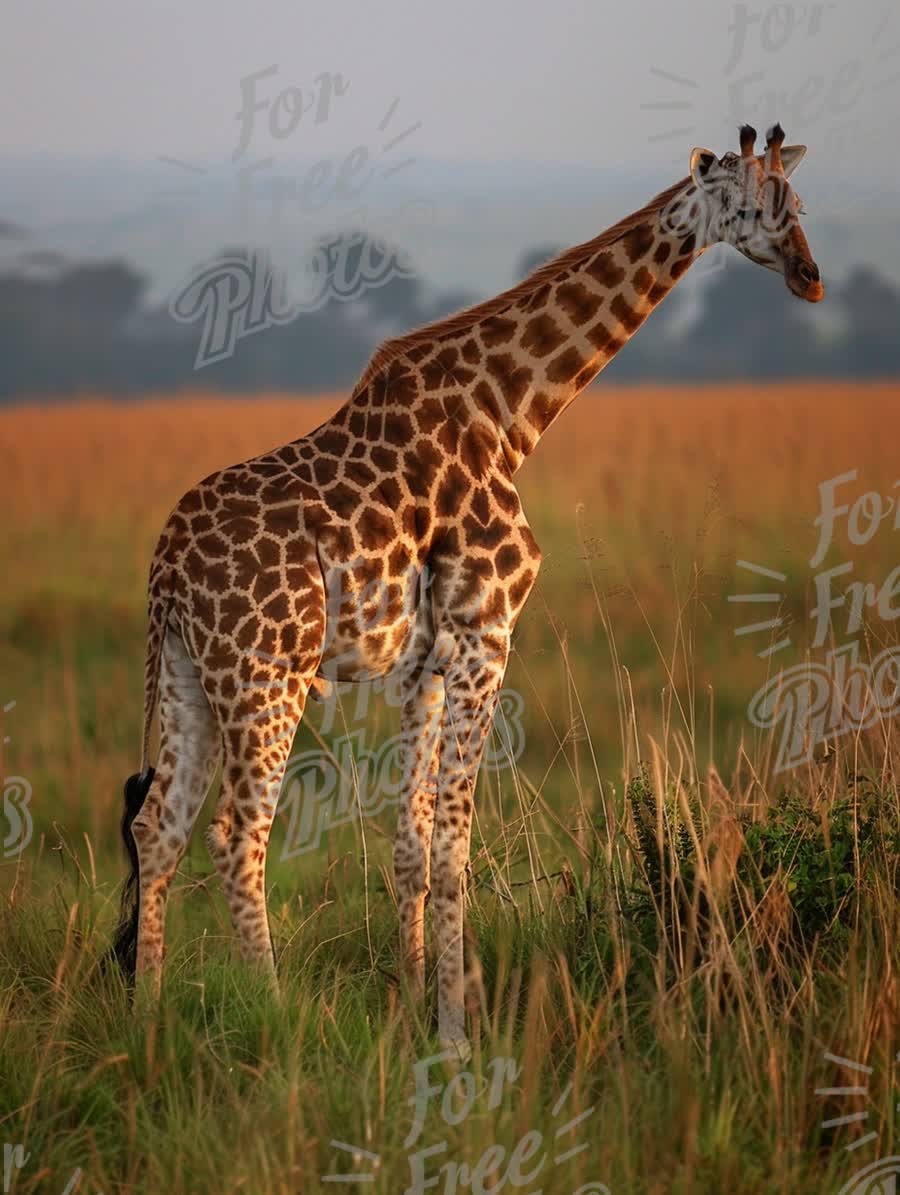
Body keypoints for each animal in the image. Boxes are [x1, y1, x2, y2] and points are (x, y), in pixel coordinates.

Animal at [112, 123, 822, 1056]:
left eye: (798, 202)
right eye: (752, 205)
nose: (810, 276)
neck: (509, 411)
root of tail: (165, 567)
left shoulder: (424, 662)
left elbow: (411, 849)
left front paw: (412, 1003)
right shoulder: (489, 635)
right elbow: (454, 848)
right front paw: (454, 1034)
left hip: (189, 673)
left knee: (158, 827)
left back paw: (148, 1017)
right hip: (265, 674)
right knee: (237, 835)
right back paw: (271, 1010)